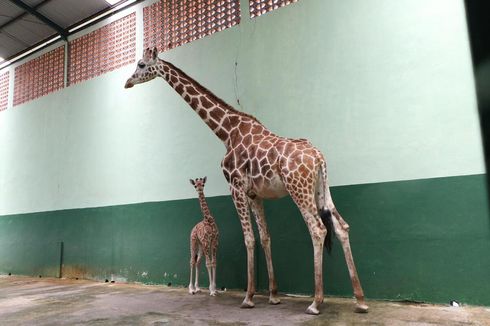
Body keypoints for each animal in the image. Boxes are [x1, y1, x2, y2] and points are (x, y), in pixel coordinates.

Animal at [126, 47, 368, 314]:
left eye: (141, 64)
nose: (127, 82)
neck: (226, 132)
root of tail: (319, 157)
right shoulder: (255, 194)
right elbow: (265, 237)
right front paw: (273, 295)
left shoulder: (235, 187)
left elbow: (249, 239)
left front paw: (249, 297)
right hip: (321, 190)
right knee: (341, 227)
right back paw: (360, 300)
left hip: (299, 189)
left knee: (318, 229)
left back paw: (316, 302)